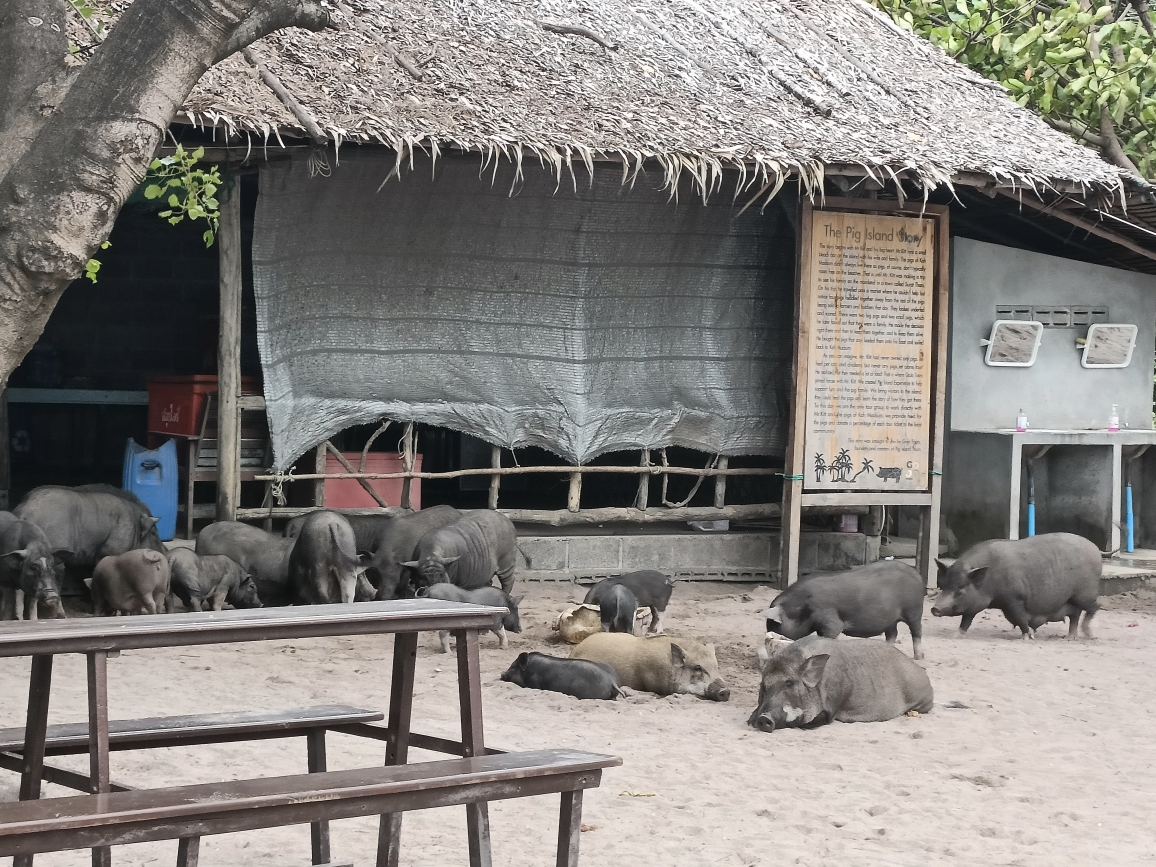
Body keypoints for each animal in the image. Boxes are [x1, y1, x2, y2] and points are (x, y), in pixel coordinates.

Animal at [758, 559, 929, 661]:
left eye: (774, 624)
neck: (800, 606)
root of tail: (917, 575)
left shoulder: (829, 618)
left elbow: (832, 632)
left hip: (914, 610)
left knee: (917, 631)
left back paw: (919, 657)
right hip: (891, 619)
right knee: (893, 633)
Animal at [929, 534, 1100, 642]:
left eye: (961, 588)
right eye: (943, 585)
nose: (934, 608)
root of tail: (1095, 548)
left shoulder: (1015, 599)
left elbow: (1020, 617)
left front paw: (1027, 637)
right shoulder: (974, 604)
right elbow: (966, 620)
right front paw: (956, 636)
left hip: (1085, 595)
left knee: (1094, 607)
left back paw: (1088, 635)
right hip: (1072, 600)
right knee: (1075, 616)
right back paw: (1069, 638)